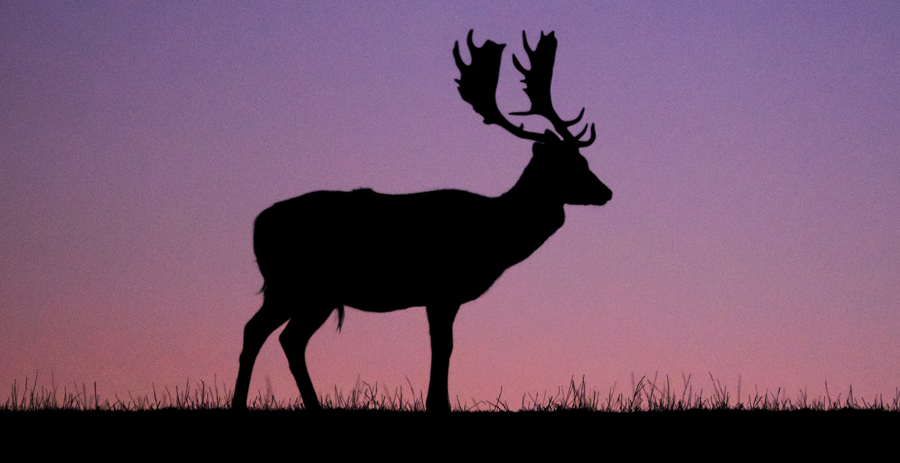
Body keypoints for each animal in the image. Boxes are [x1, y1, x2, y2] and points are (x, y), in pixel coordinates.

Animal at [232, 30, 612, 412]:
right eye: (568, 165)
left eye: (584, 160)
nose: (606, 191)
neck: (494, 234)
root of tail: (258, 224)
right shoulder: (442, 288)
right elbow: (443, 347)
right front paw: (438, 405)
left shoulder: (443, 295)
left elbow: (442, 347)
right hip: (295, 283)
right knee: (260, 331)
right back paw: (243, 403)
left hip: (312, 292)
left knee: (286, 338)